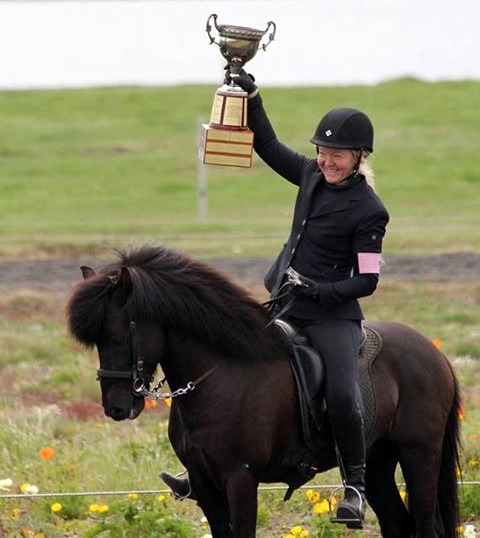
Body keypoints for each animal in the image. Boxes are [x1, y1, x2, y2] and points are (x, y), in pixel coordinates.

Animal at [66, 244, 462, 536]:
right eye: (97, 341)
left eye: (119, 335)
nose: (116, 408)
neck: (220, 374)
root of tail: (435, 354)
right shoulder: (205, 485)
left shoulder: (241, 478)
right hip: (378, 460)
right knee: (398, 523)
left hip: (419, 454)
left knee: (424, 525)